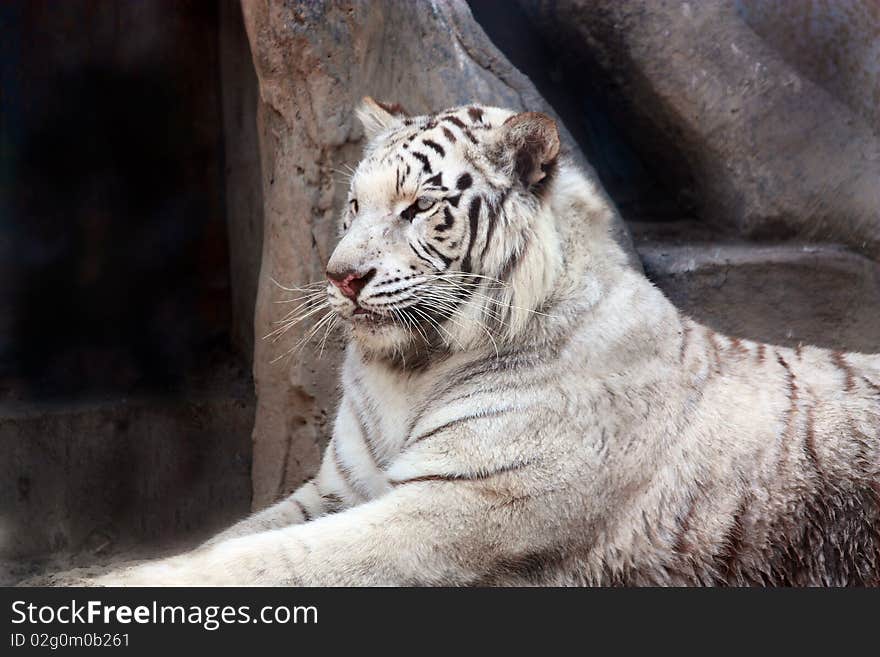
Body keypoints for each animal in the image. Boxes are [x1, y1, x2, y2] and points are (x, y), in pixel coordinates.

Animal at [65, 98, 876, 584]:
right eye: (354, 205)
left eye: (418, 207)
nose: (340, 276)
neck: (408, 371)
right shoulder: (339, 488)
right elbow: (232, 536)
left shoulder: (455, 506)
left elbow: (266, 559)